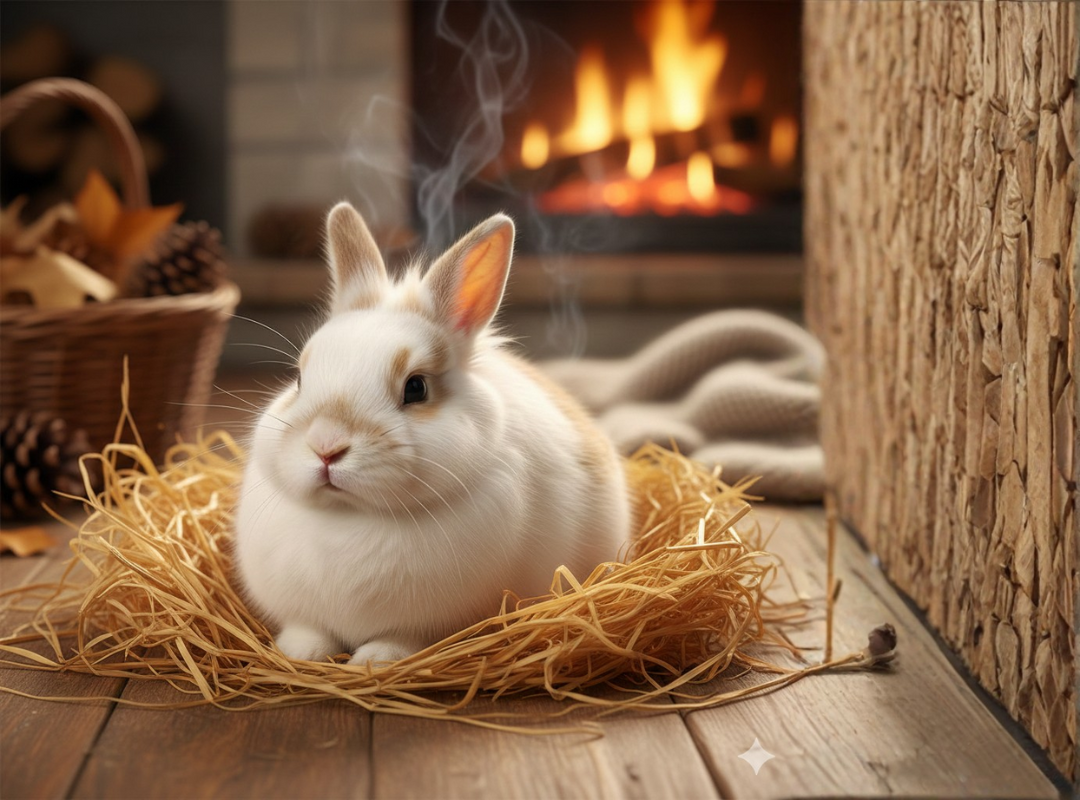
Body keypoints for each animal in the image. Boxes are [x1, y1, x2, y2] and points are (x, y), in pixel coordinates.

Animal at [234, 202, 631, 666]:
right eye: (298, 379)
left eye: (416, 388)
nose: (326, 447)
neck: (348, 516)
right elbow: (308, 630)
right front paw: (301, 652)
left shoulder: (420, 624)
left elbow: (400, 639)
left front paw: (374, 660)